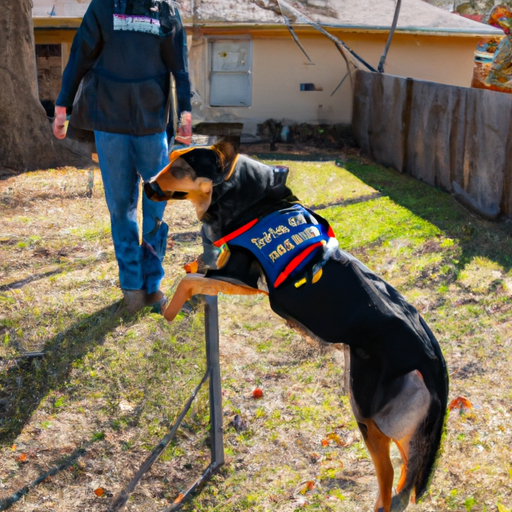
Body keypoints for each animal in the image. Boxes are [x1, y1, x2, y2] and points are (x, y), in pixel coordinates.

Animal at [144, 141, 448, 512]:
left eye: (179, 168)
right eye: (169, 161)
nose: (147, 185)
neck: (252, 199)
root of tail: (431, 355)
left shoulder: (242, 279)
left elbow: (188, 281)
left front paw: (167, 310)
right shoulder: (235, 277)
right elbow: (197, 270)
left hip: (366, 408)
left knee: (390, 472)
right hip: (400, 422)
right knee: (408, 472)